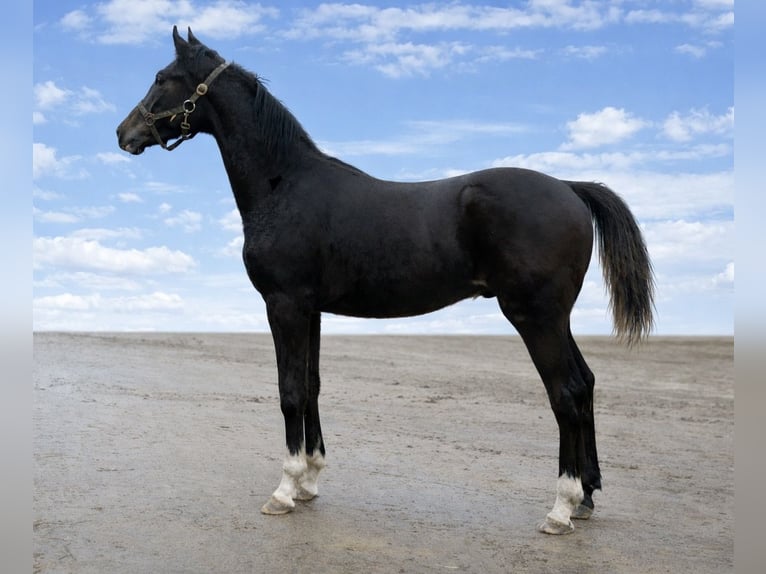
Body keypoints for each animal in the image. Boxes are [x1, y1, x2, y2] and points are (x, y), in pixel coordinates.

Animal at [117, 27, 654, 535]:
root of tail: (569, 189)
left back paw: (561, 508)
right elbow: (311, 385)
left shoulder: (284, 304)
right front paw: (311, 479)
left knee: (566, 394)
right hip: (556, 318)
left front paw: (285, 489)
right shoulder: (310, 309)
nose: (124, 132)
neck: (284, 184)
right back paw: (586, 497)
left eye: (163, 78)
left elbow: (289, 391)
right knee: (586, 384)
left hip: (535, 317)